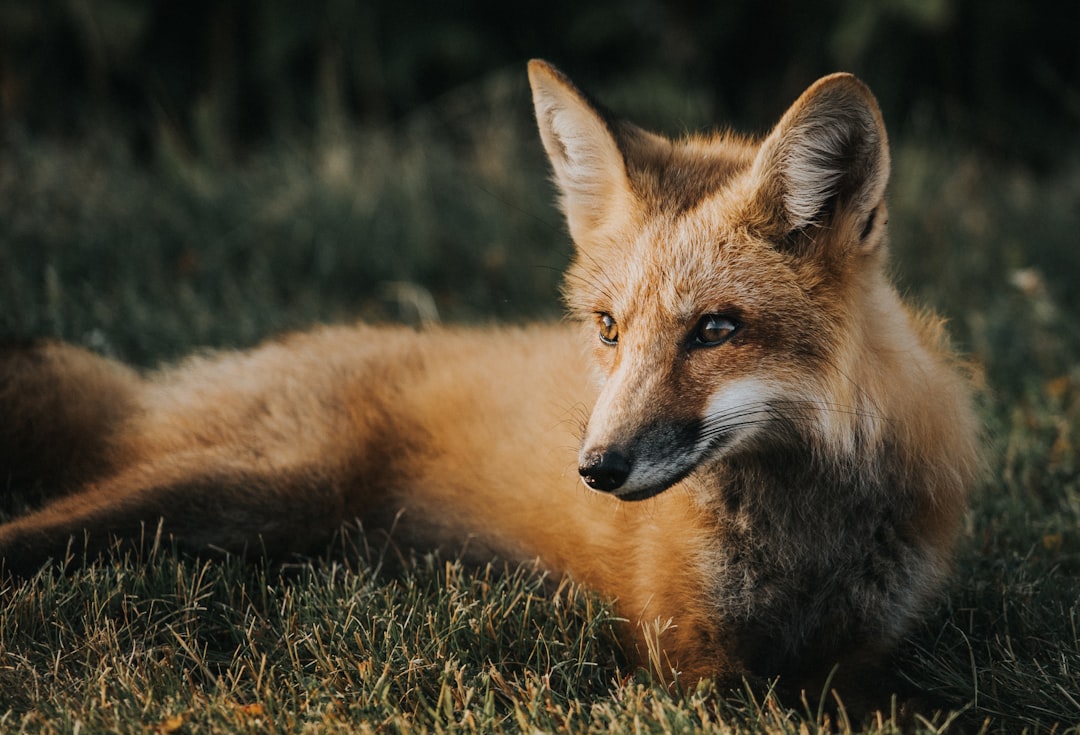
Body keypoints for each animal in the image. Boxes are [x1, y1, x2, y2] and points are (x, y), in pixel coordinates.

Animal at [0, 60, 984, 708]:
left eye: (715, 329)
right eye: (609, 328)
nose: (595, 468)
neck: (802, 541)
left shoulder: (866, 660)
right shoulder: (682, 663)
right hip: (247, 486)